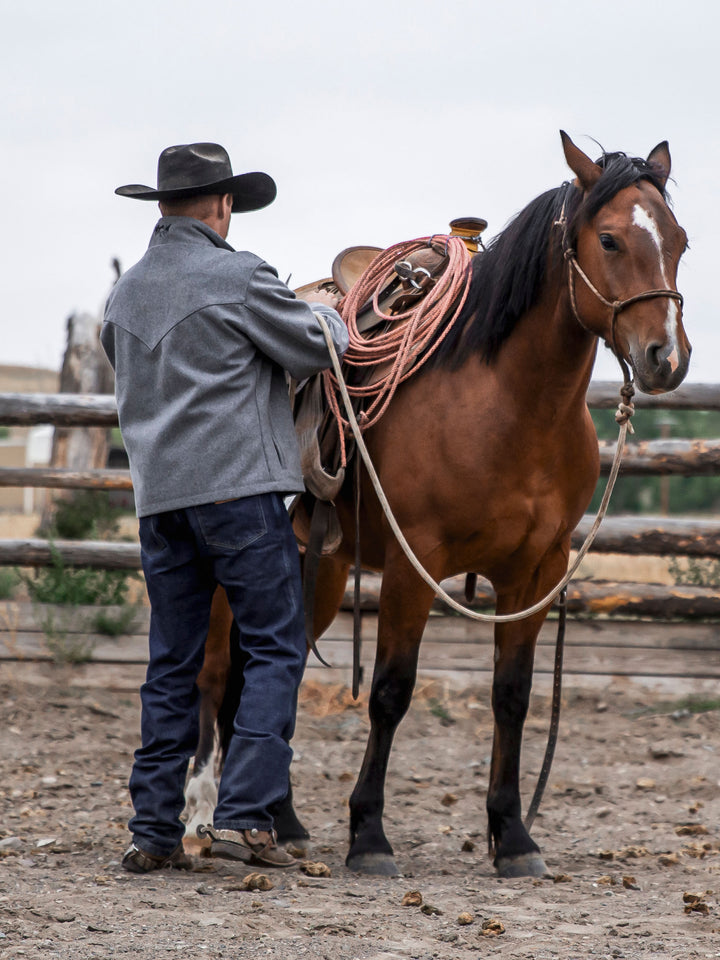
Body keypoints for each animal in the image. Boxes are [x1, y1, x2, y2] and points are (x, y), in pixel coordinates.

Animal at [191, 133, 692, 876]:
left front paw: (512, 835)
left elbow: (512, 696)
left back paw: (282, 821)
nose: (666, 357)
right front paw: (369, 835)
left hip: (320, 570)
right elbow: (391, 693)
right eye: (608, 239)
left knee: (266, 675)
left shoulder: (537, 571)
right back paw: (209, 818)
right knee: (219, 673)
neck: (510, 406)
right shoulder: (414, 566)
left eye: (680, 240)